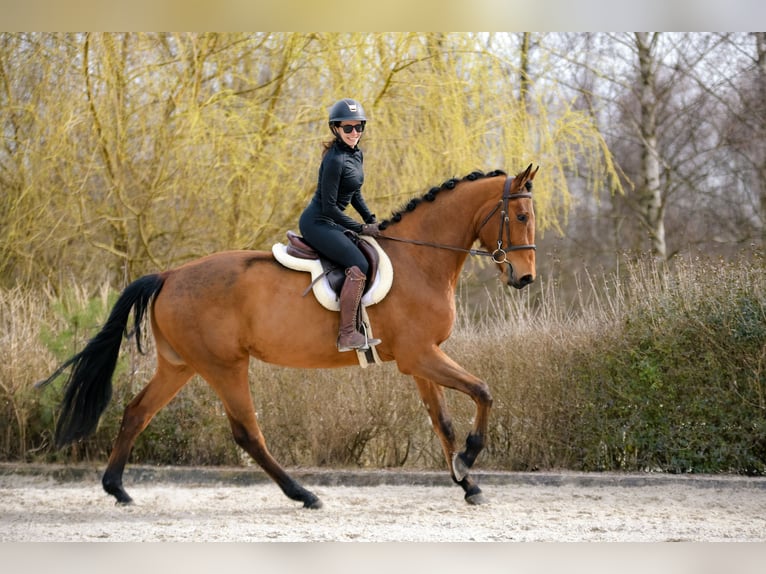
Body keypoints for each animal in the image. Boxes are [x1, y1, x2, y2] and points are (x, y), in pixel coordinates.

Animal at [37, 163, 539, 509]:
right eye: (518, 215)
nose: (525, 278)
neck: (421, 260)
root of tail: (169, 275)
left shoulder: (420, 359)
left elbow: (443, 421)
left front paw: (466, 481)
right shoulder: (420, 355)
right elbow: (483, 391)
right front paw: (469, 461)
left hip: (179, 366)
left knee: (137, 412)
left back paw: (117, 489)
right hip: (224, 366)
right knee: (247, 432)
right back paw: (304, 494)